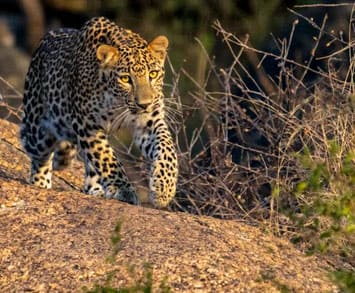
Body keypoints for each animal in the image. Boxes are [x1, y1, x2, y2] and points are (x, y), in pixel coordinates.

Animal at [20, 16, 178, 208]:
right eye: (125, 79)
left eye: (153, 74)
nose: (144, 104)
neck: (117, 102)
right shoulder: (87, 124)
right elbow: (106, 157)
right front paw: (123, 190)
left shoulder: (149, 122)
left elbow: (167, 148)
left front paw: (164, 189)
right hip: (39, 132)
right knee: (38, 154)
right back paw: (41, 184)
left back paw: (95, 189)